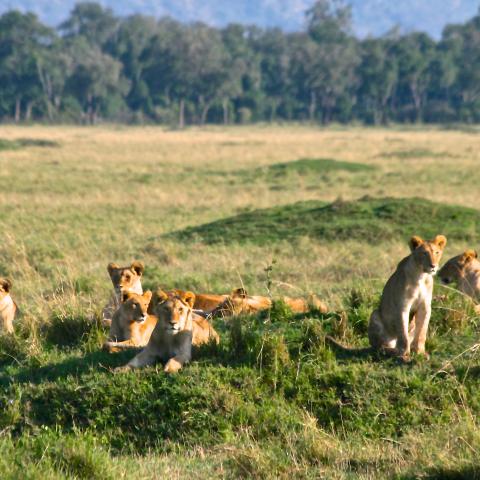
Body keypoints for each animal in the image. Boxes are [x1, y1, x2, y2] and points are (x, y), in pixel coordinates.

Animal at [326, 234, 446, 362]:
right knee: (379, 348)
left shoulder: (425, 307)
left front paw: (420, 353)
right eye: (424, 253)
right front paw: (404, 354)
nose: (433, 266)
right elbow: (403, 333)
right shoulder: (402, 306)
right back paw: (392, 351)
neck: (421, 276)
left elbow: (422, 332)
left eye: (437, 252)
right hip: (374, 315)